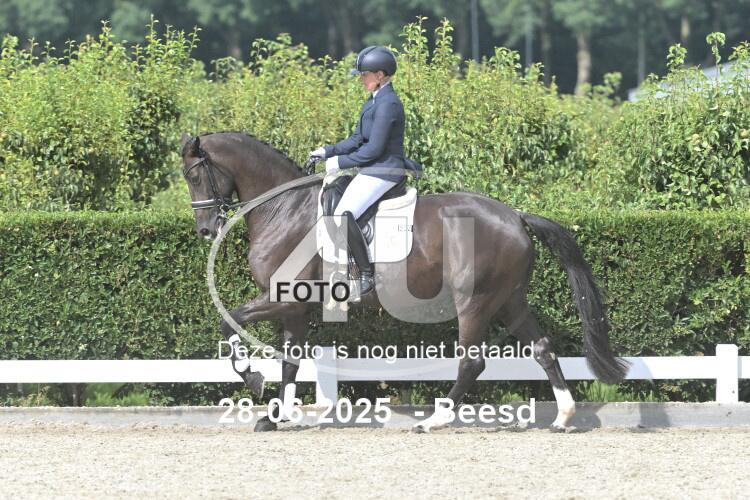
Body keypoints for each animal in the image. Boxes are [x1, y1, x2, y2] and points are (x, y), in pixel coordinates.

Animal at [180, 131, 628, 432]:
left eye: (195, 176)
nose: (205, 230)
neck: (284, 208)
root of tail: (516, 217)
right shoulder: (295, 307)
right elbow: (290, 361)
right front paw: (275, 417)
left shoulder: (281, 298)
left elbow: (229, 323)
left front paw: (254, 380)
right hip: (510, 300)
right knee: (542, 349)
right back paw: (564, 417)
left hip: (475, 301)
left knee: (473, 361)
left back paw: (434, 420)